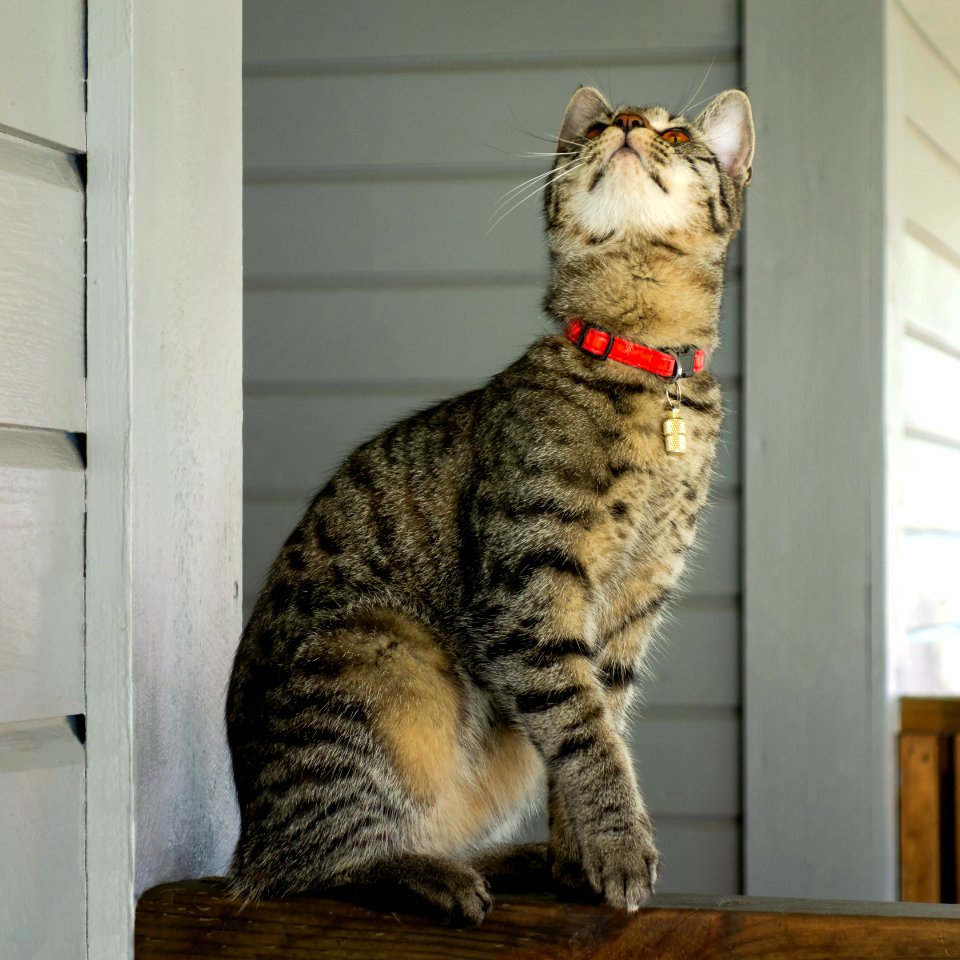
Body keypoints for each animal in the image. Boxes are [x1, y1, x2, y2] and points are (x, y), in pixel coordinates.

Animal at [229, 86, 752, 928]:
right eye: (599, 127)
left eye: (676, 135)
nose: (626, 126)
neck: (643, 363)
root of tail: (247, 834)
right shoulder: (528, 584)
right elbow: (585, 734)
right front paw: (620, 848)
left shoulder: (632, 607)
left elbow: (602, 722)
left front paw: (580, 862)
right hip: (384, 656)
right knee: (305, 864)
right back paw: (428, 875)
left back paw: (508, 860)